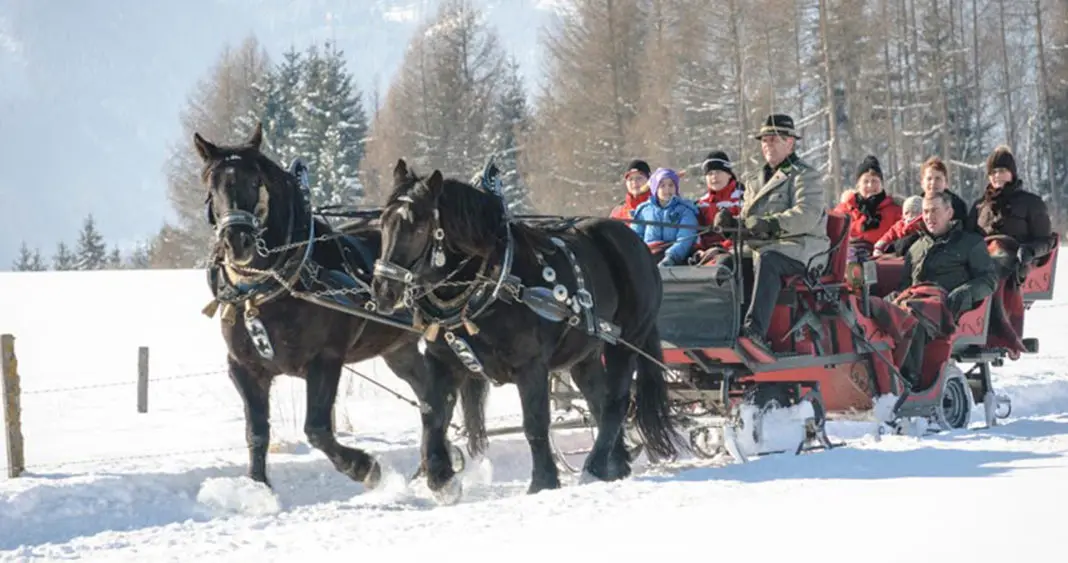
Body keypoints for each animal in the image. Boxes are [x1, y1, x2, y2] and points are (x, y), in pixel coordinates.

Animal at [194, 125, 489, 491]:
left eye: (254, 181)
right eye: (212, 185)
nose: (237, 241)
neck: (277, 285)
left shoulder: (326, 359)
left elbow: (317, 429)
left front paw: (364, 467)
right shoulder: (244, 367)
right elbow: (257, 432)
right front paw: (258, 487)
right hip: (398, 350)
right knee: (430, 400)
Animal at [371, 160, 679, 497]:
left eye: (418, 227)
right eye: (383, 223)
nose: (383, 290)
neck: (494, 280)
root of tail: (637, 245)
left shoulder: (530, 364)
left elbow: (534, 422)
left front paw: (543, 481)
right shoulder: (443, 361)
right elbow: (432, 415)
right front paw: (441, 479)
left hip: (626, 342)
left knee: (616, 402)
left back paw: (595, 466)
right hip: (585, 352)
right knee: (598, 399)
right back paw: (616, 464)